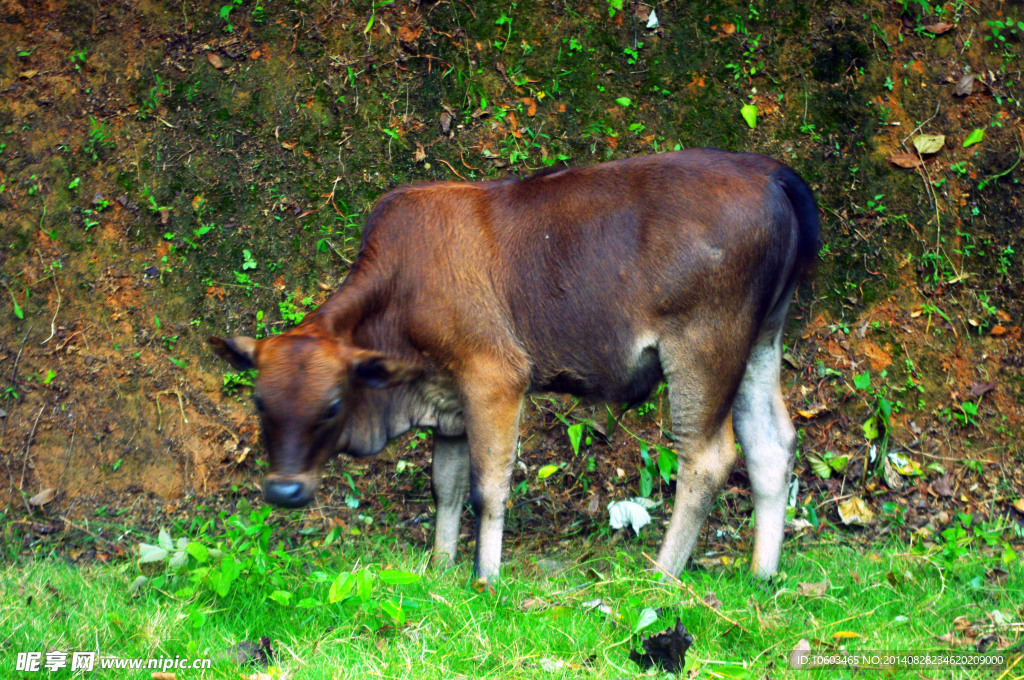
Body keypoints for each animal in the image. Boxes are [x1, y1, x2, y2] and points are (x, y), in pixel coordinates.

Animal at [207, 148, 815, 577]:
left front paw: (486, 577)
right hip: (760, 342)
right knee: (771, 445)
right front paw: (441, 568)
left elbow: (488, 486)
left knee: (707, 457)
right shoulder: (449, 400)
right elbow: (446, 486)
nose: (284, 492)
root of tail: (771, 174)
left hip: (703, 347)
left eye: (332, 405)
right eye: (260, 403)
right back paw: (762, 574)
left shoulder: (494, 378)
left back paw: (661, 575)